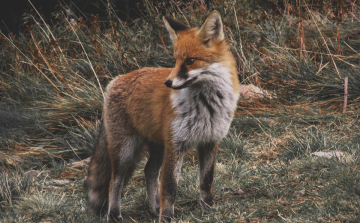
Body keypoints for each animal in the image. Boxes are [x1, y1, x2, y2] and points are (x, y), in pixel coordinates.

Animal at [84, 10, 240, 221]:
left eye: (190, 61)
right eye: (175, 60)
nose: (168, 82)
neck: (207, 105)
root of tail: (116, 80)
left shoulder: (210, 140)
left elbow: (207, 179)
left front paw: (208, 206)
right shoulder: (175, 145)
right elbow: (169, 187)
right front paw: (166, 217)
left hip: (158, 146)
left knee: (148, 171)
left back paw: (154, 207)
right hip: (125, 150)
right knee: (114, 180)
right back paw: (115, 214)